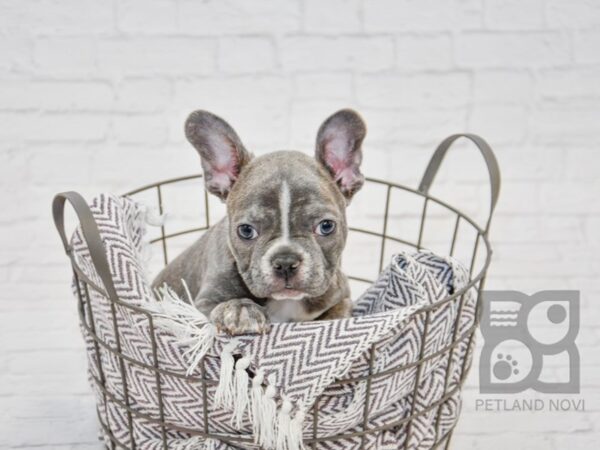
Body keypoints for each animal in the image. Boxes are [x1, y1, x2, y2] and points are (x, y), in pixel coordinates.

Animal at [152, 108, 368, 334]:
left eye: (326, 226)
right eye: (246, 230)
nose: (285, 262)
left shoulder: (342, 296)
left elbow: (338, 312)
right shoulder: (201, 304)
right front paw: (240, 309)